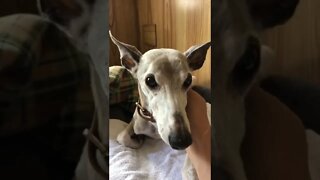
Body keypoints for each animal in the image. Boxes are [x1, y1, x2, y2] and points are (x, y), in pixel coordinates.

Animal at [109, 31, 211, 179]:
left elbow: (190, 167)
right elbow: (122, 138)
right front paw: (139, 139)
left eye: (188, 80)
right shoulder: (136, 122)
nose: (181, 140)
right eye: (150, 80)